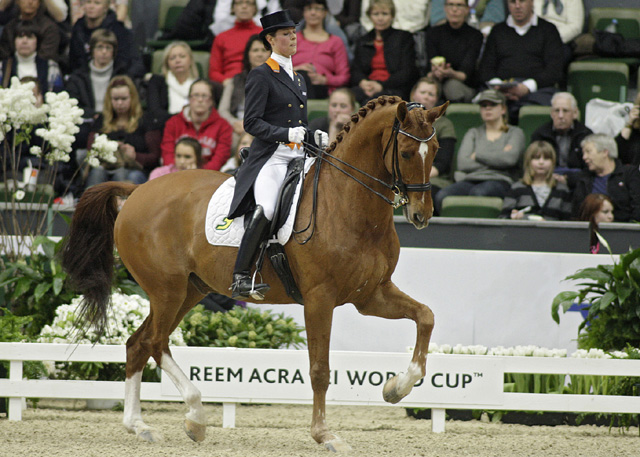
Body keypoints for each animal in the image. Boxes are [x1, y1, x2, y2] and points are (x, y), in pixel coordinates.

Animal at [62, 95, 448, 448]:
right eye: (407, 153)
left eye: (436, 149)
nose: (421, 215)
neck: (348, 204)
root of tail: (137, 191)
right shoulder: (319, 300)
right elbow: (320, 370)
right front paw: (324, 435)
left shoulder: (370, 295)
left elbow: (426, 316)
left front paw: (395, 388)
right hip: (166, 290)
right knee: (156, 343)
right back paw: (196, 417)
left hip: (189, 291)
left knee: (137, 344)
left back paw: (139, 426)